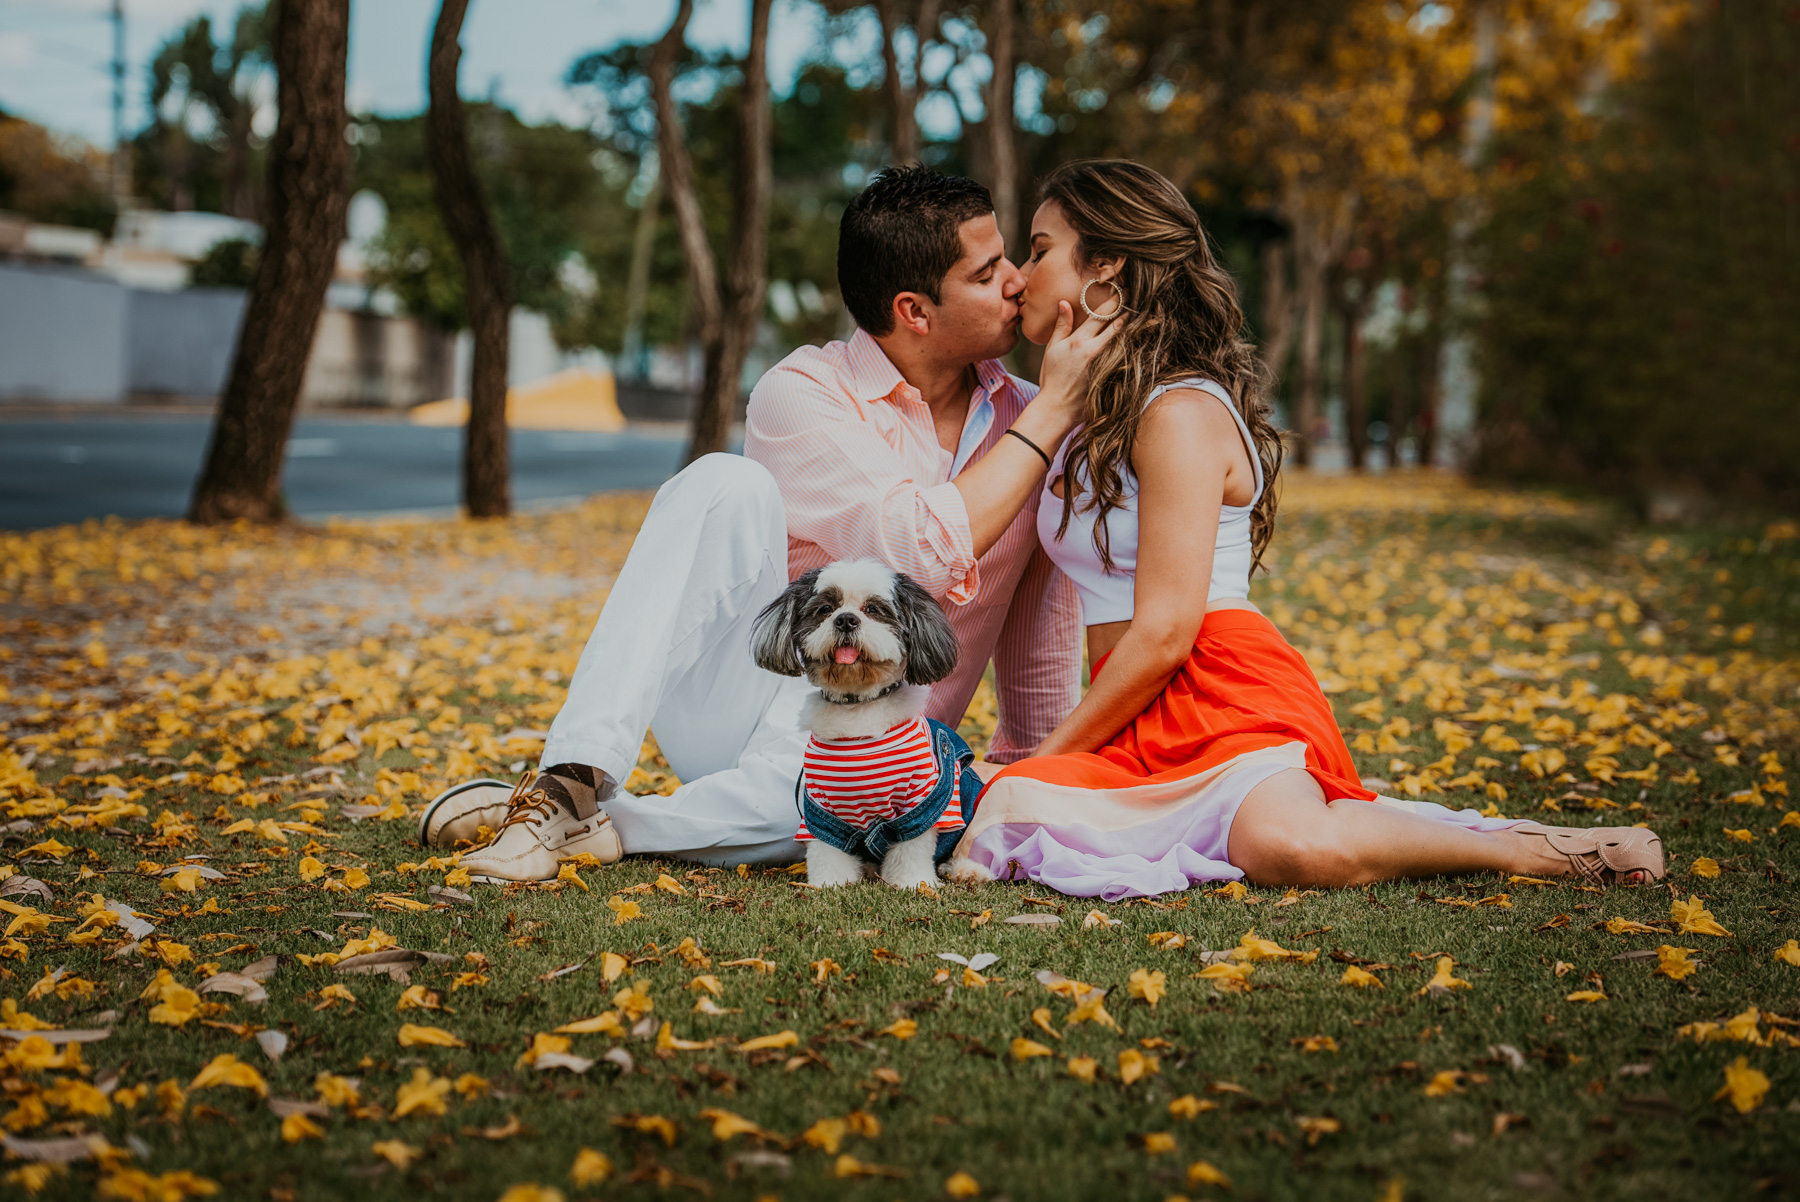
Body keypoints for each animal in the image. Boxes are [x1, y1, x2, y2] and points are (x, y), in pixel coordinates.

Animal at [756, 557, 986, 888]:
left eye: (874, 609)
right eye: (825, 609)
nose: (846, 620)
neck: (858, 706)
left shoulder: (920, 800)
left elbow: (912, 846)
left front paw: (914, 884)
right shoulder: (821, 808)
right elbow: (828, 850)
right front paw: (830, 884)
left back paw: (967, 870)